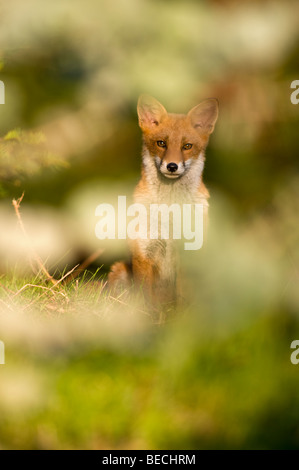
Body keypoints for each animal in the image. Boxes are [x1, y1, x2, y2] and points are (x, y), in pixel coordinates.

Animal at [109, 95, 219, 306]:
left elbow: (184, 299)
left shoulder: (190, 255)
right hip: (119, 272)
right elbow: (146, 299)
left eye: (187, 146)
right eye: (161, 143)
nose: (172, 166)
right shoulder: (144, 253)